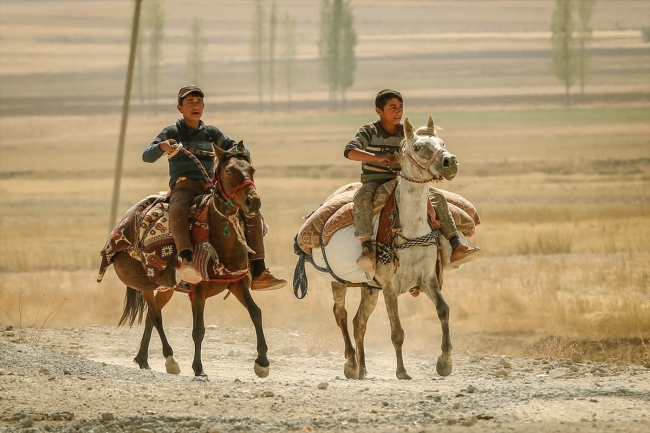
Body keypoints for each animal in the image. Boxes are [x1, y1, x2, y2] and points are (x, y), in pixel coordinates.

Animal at [103, 143, 266, 378]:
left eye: (252, 170)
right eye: (228, 171)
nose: (253, 202)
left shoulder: (237, 283)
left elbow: (256, 313)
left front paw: (262, 363)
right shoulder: (198, 291)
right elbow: (198, 329)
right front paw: (198, 368)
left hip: (167, 287)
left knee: (152, 315)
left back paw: (143, 359)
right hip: (146, 284)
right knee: (156, 316)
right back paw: (170, 360)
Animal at [330, 115, 456, 378]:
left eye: (441, 142)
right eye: (417, 147)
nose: (450, 162)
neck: (411, 229)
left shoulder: (427, 278)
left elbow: (443, 310)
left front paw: (445, 361)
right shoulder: (389, 286)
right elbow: (397, 331)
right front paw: (402, 371)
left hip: (369, 288)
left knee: (359, 322)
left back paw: (362, 370)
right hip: (338, 281)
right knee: (341, 314)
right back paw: (351, 364)